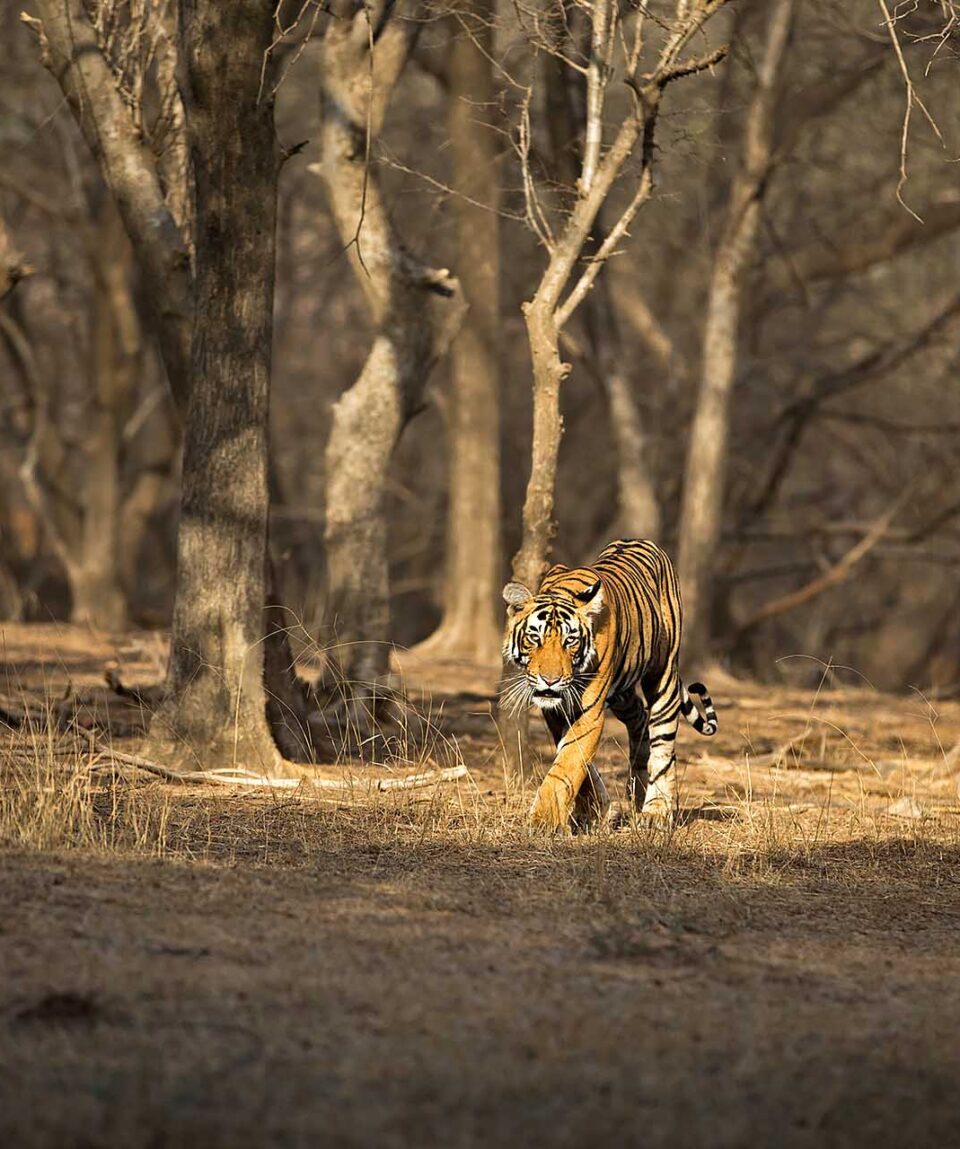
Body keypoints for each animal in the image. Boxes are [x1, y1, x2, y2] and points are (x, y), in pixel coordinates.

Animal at [502, 533, 711, 831]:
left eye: (570, 641)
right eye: (535, 638)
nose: (550, 680)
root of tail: (641, 540)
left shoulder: (591, 713)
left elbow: (569, 762)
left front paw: (545, 820)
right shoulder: (556, 711)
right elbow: (575, 761)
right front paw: (594, 810)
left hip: (663, 675)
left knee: (662, 741)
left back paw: (657, 810)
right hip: (622, 693)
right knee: (639, 718)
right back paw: (637, 793)